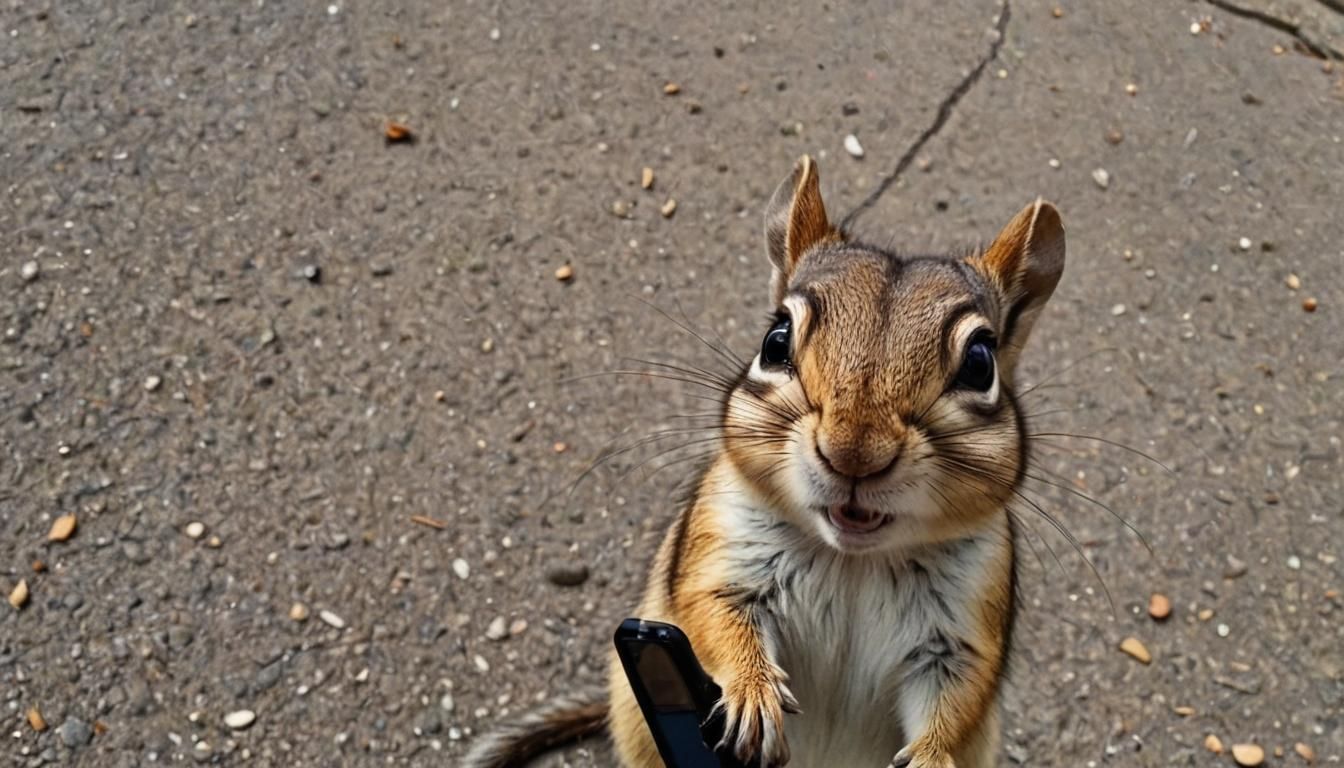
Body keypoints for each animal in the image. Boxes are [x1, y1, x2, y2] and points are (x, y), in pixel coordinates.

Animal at [464, 155, 1066, 768]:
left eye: (980, 363)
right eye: (775, 341)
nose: (853, 453)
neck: (851, 560)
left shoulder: (961, 631)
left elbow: (957, 698)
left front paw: (932, 757)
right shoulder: (723, 551)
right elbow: (717, 619)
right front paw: (753, 693)